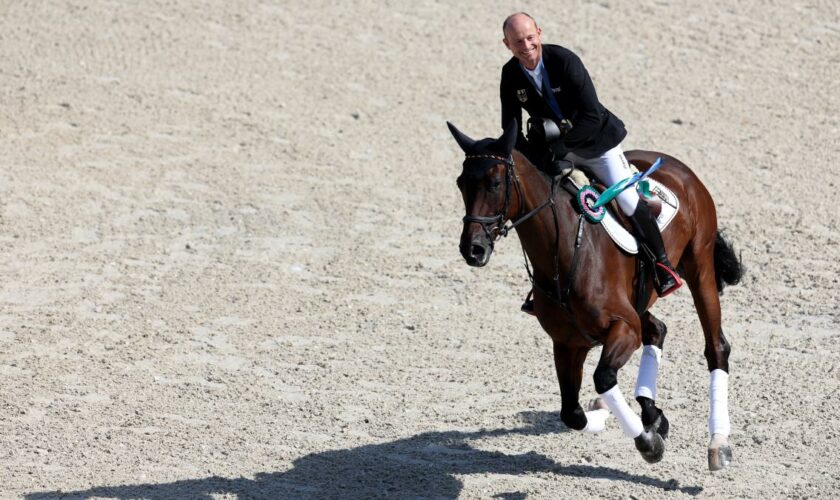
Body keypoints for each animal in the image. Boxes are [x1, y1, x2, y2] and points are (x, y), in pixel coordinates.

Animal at [450, 120, 744, 468]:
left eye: (495, 183)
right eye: (461, 183)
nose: (473, 249)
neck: (565, 252)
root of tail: (677, 166)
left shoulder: (623, 328)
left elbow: (603, 377)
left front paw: (647, 443)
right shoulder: (567, 343)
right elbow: (572, 413)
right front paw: (610, 416)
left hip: (699, 267)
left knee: (716, 348)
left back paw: (718, 444)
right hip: (640, 301)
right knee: (657, 330)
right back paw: (651, 414)